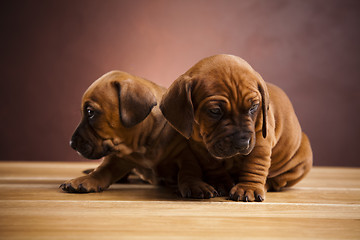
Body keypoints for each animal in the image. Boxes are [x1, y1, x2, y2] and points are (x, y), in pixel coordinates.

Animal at [60, 70, 221, 199]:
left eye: (90, 112)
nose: (71, 144)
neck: (144, 145)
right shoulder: (119, 159)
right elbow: (102, 169)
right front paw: (86, 179)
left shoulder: (185, 154)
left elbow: (188, 171)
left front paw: (195, 185)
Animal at [160, 54, 312, 201]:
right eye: (215, 111)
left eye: (254, 107)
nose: (242, 143)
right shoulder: (198, 146)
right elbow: (211, 164)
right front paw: (220, 182)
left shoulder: (260, 139)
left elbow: (255, 163)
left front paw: (249, 187)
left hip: (303, 158)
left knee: (277, 180)